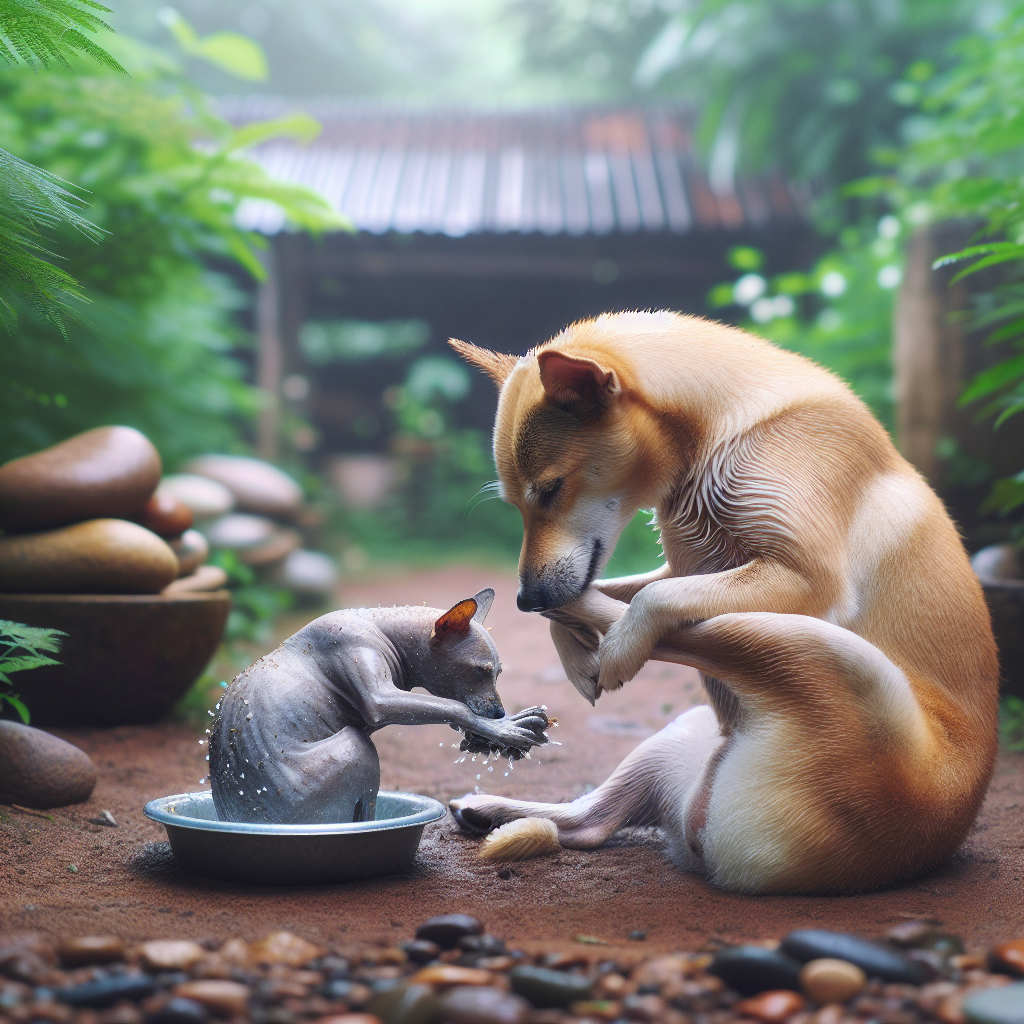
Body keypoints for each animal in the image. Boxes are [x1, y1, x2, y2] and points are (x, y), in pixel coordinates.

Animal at [207, 589, 552, 827]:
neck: (381, 628)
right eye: (481, 671)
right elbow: (457, 708)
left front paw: (492, 736)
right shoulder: (379, 698)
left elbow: (451, 708)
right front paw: (503, 730)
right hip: (356, 748)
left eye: (498, 673)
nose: (498, 713)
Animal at [448, 307, 999, 892]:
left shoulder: (803, 577)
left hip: (810, 646)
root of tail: (706, 826)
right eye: (516, 503)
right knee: (589, 821)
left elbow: (651, 598)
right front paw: (574, 652)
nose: (525, 597)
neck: (715, 432)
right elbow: (625, 588)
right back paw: (489, 806)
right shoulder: (684, 566)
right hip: (693, 722)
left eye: (550, 490)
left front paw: (604, 650)